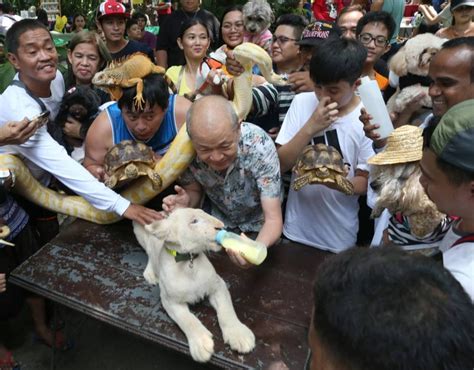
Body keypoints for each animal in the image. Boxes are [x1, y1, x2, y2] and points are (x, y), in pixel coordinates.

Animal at [131, 210, 258, 362]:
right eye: (194, 221)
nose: (221, 226)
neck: (189, 261)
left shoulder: (218, 285)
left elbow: (227, 310)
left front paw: (240, 336)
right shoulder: (170, 301)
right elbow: (188, 320)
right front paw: (202, 344)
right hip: (148, 243)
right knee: (150, 256)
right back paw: (150, 275)